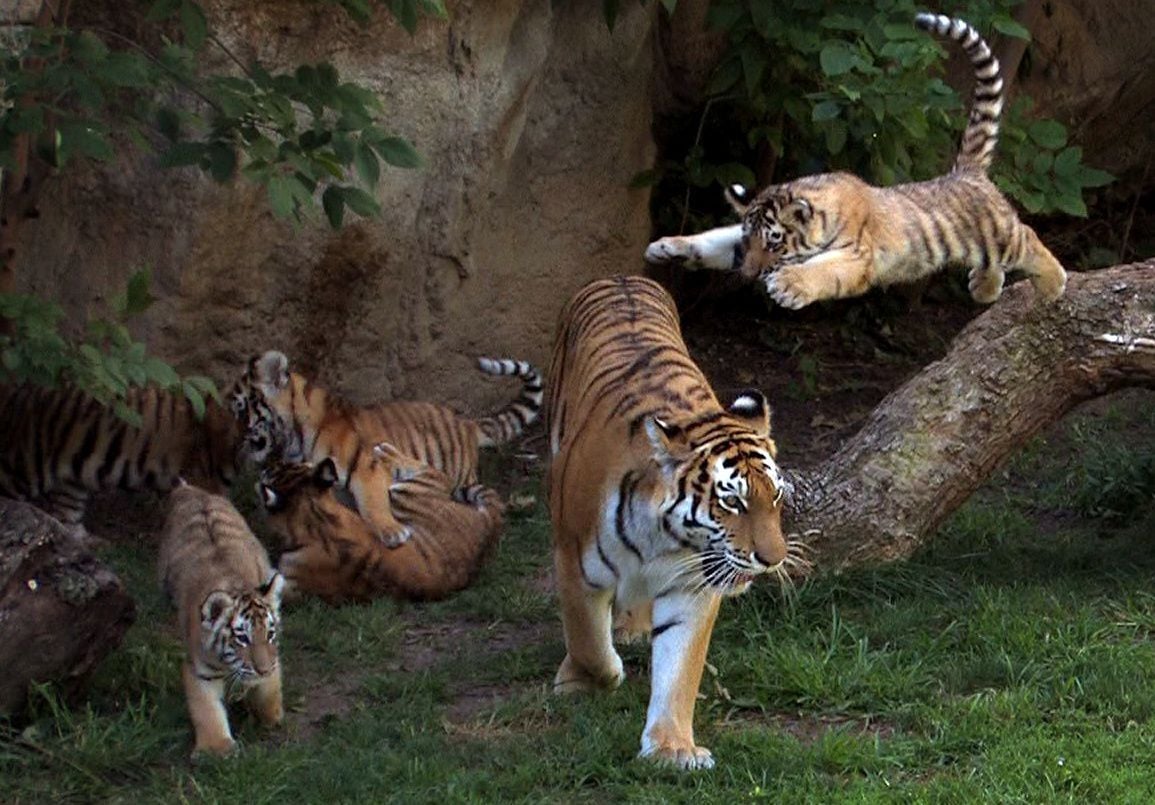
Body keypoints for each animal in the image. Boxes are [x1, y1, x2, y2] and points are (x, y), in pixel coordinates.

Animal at [235, 351, 540, 547]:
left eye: (239, 407)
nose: (236, 439)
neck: (293, 435)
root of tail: (466, 423)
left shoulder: (365, 466)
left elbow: (373, 502)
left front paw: (391, 532)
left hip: (455, 480)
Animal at [259, 438, 503, 600]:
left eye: (275, 471)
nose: (270, 462)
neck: (315, 519)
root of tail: (490, 523)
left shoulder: (287, 586)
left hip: (403, 495)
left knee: (438, 474)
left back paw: (385, 452)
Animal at [547, 276, 794, 771]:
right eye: (732, 501)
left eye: (775, 497)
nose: (772, 560)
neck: (662, 536)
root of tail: (620, 278)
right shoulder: (573, 561)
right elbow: (587, 639)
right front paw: (587, 677)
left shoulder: (691, 587)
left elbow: (679, 669)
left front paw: (671, 747)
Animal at [642, 14, 1062, 311]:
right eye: (750, 241)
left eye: (776, 244)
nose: (749, 274)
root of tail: (967, 172)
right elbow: (715, 238)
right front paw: (665, 247)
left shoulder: (858, 256)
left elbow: (823, 270)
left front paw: (790, 285)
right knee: (992, 259)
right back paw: (985, 289)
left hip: (999, 233)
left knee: (1028, 236)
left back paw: (1054, 284)